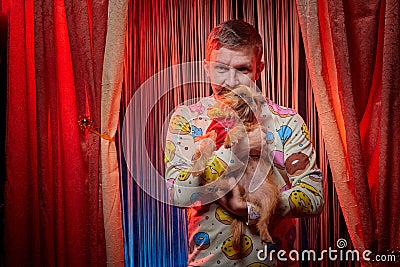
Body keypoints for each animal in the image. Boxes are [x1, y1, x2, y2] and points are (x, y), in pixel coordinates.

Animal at [192, 86, 280, 249]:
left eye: (255, 100)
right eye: (241, 95)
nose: (250, 100)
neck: (234, 116)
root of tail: (246, 193)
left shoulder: (249, 127)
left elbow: (236, 129)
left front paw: (230, 139)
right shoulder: (212, 133)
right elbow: (205, 147)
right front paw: (197, 166)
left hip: (271, 197)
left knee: (263, 220)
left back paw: (266, 235)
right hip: (233, 180)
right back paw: (215, 186)